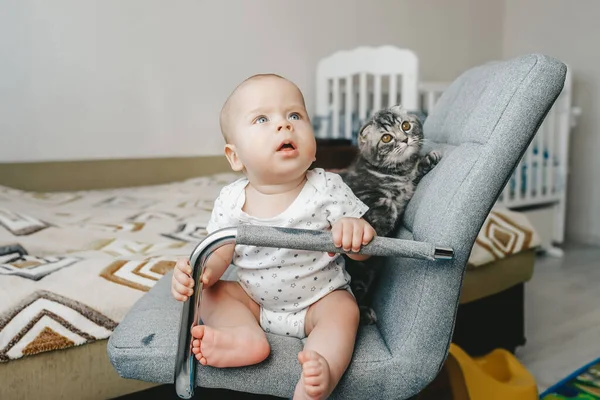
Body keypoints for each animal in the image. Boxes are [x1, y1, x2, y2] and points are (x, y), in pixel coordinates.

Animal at [340, 104, 442, 324]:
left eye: (405, 126)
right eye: (386, 138)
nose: (404, 139)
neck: (398, 173)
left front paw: (429, 159)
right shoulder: (361, 192)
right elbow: (383, 200)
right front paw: (386, 220)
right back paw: (366, 314)